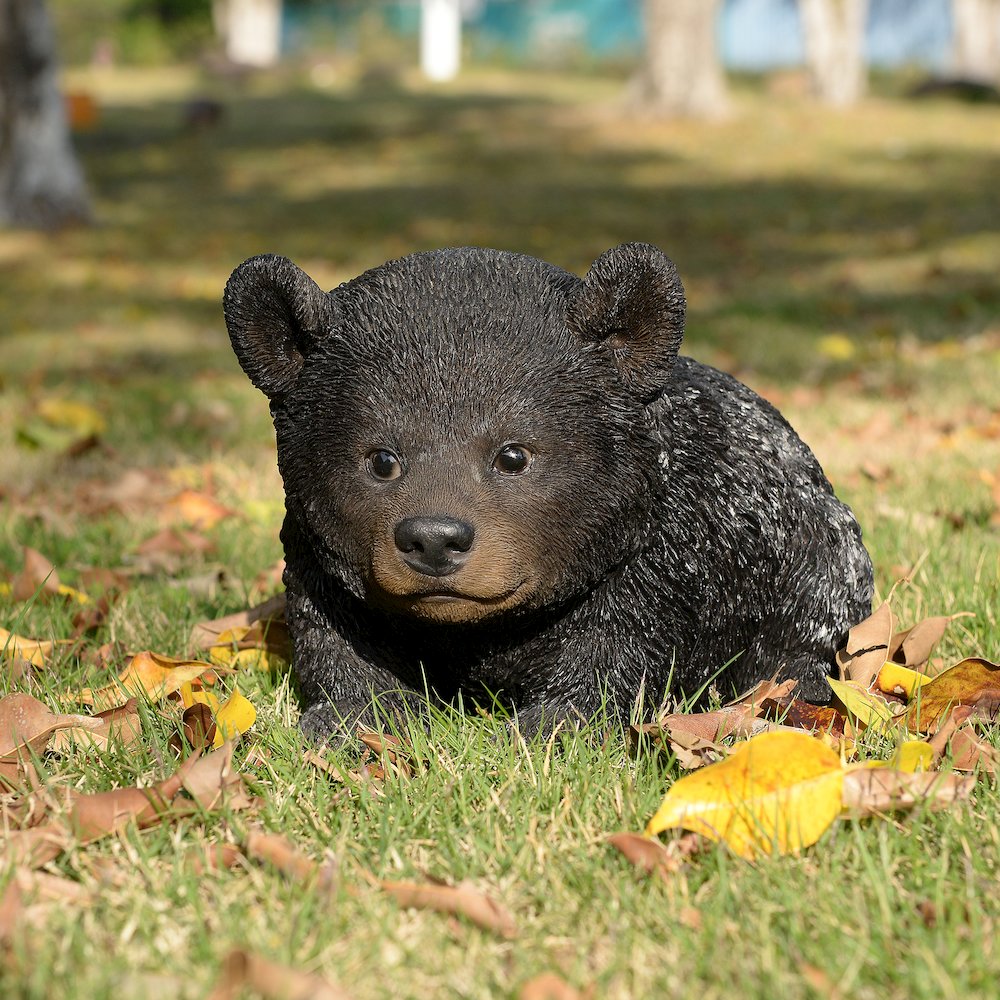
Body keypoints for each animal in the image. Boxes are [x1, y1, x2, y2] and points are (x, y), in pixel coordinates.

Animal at [223, 242, 874, 742]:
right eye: (382, 459)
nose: (434, 537)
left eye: (513, 455)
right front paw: (352, 721)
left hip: (821, 562)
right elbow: (336, 632)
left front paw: (552, 725)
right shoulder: (313, 549)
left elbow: (616, 650)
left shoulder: (665, 560)